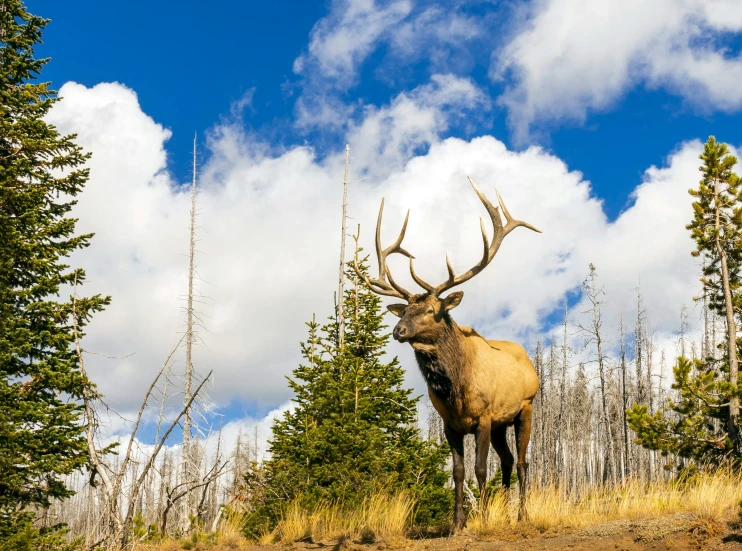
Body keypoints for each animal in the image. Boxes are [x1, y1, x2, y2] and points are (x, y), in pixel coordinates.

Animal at [354, 178, 540, 532]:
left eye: (430, 310)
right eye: (404, 310)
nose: (398, 330)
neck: (456, 389)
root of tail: (529, 361)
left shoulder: (483, 417)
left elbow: (480, 469)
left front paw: (482, 520)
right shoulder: (450, 424)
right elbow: (457, 473)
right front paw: (457, 524)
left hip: (525, 407)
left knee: (523, 461)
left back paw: (523, 515)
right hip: (502, 423)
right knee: (508, 461)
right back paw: (507, 511)